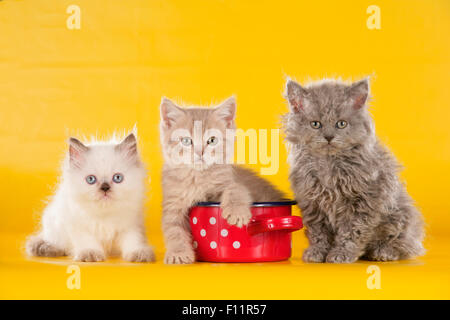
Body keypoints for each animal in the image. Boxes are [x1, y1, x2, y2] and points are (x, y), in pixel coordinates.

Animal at [25, 132, 155, 262]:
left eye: (117, 178)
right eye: (91, 179)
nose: (105, 188)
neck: (104, 216)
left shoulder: (131, 226)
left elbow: (133, 241)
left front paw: (139, 254)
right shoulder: (78, 225)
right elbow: (87, 241)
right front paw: (90, 254)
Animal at [160, 97, 284, 264]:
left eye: (212, 140)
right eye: (186, 141)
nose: (200, 152)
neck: (197, 178)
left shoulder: (230, 182)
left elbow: (235, 189)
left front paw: (237, 212)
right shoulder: (173, 203)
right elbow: (173, 230)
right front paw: (178, 253)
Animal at [284, 77, 426, 262]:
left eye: (341, 124)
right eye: (315, 124)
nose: (329, 137)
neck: (330, 164)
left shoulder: (363, 202)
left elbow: (351, 232)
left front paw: (341, 254)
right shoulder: (311, 203)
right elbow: (318, 233)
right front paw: (317, 252)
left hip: (400, 216)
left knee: (404, 244)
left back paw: (383, 252)